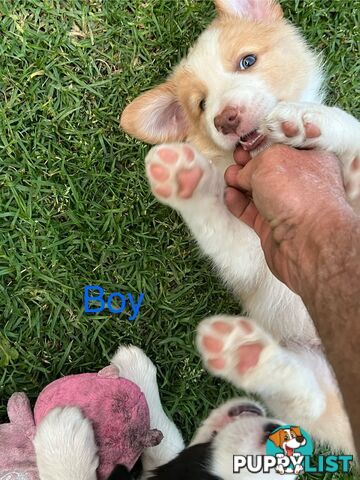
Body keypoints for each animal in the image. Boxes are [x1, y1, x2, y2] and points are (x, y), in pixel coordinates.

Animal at [121, 0, 360, 456]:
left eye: (247, 61)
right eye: (200, 105)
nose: (226, 119)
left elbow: (355, 142)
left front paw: (311, 119)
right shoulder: (248, 256)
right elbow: (215, 224)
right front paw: (184, 180)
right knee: (308, 398)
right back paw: (243, 353)